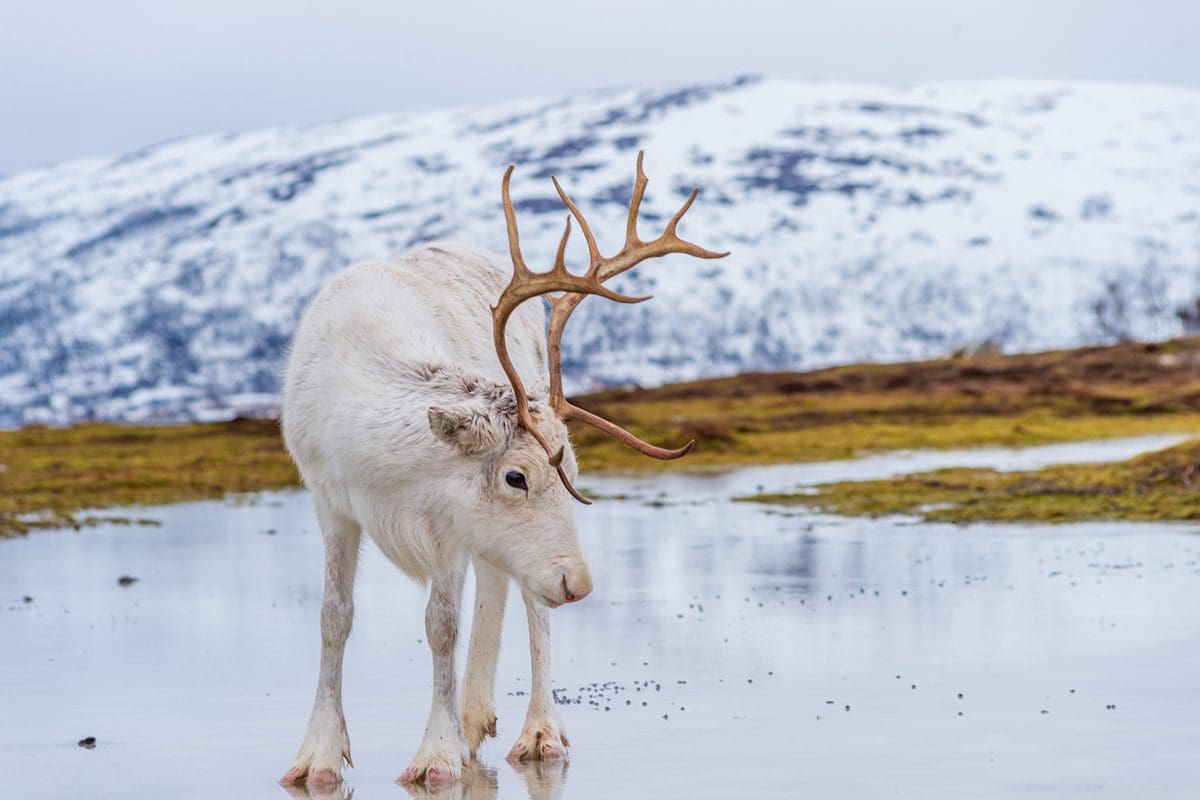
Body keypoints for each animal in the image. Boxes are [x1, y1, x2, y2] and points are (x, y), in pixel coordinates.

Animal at [278, 151, 726, 789]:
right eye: (516, 476)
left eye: (567, 470)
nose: (580, 583)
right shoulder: (332, 503)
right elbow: (334, 618)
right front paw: (317, 756)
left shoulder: (443, 523)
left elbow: (442, 624)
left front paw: (436, 756)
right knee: (499, 579)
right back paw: (474, 719)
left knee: (530, 604)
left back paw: (535, 732)